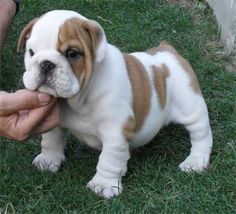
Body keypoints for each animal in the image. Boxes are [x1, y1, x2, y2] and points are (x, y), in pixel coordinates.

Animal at [17, 9, 212, 197]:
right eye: (31, 52)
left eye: (72, 53)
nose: (46, 64)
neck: (81, 97)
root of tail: (167, 50)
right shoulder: (55, 122)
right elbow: (51, 140)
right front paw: (48, 160)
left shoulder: (115, 133)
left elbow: (108, 160)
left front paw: (103, 185)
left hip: (190, 105)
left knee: (201, 134)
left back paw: (195, 162)